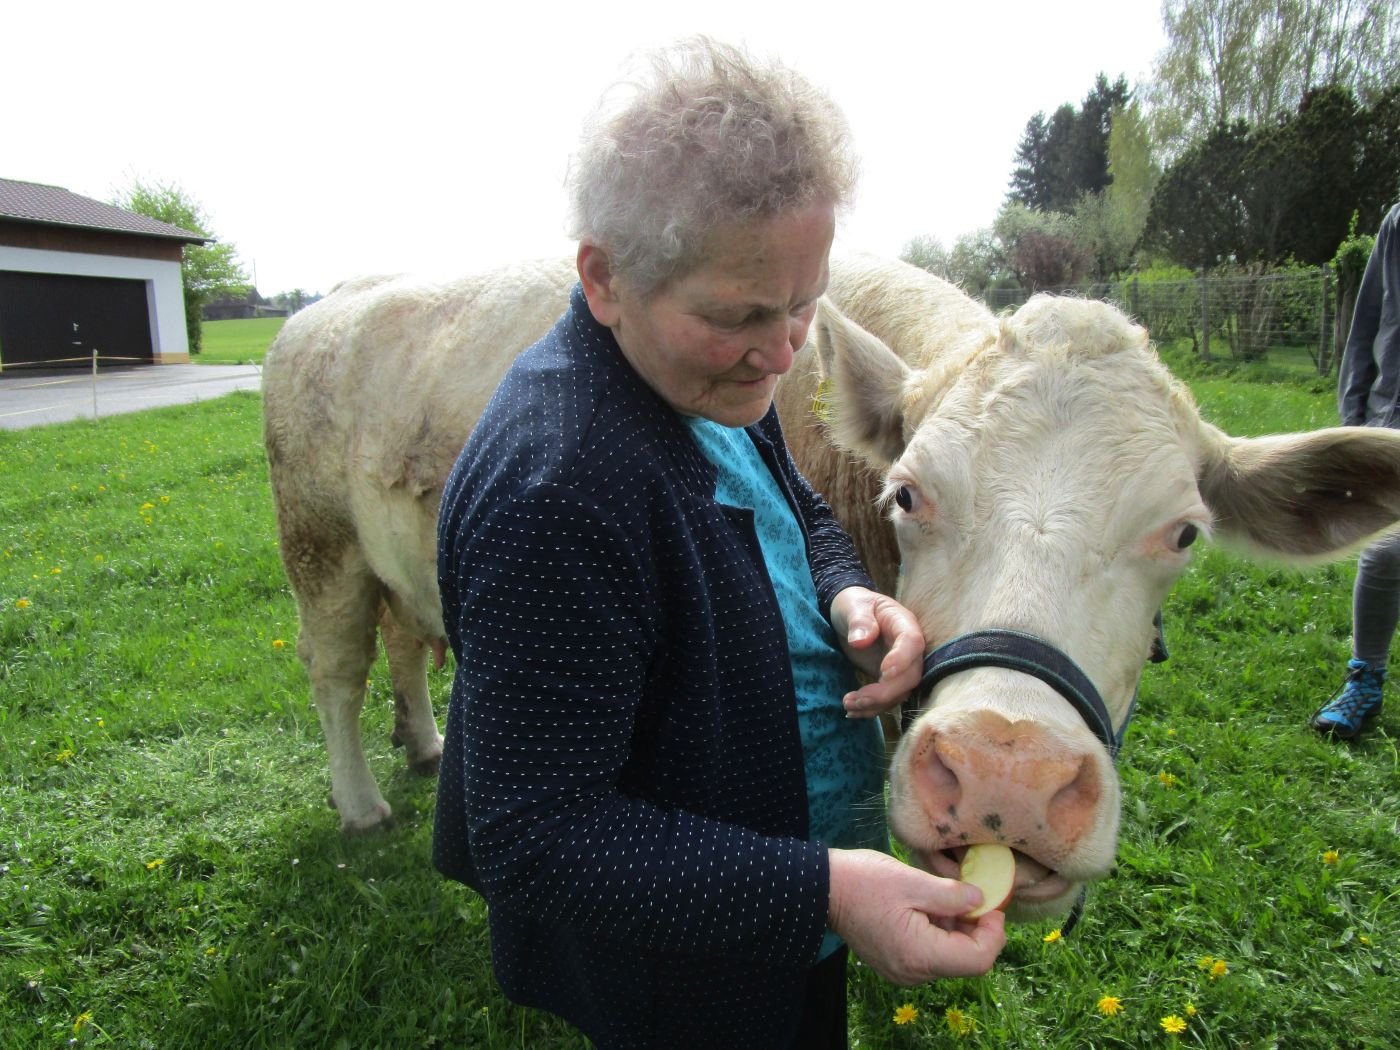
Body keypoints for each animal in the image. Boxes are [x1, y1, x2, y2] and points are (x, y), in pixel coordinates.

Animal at [262, 254, 1400, 920]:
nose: (1007, 774)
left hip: (393, 558)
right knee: (335, 669)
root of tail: (328, 306)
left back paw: (424, 743)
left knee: (403, 643)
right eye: (908, 495)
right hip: (317, 542)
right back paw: (361, 801)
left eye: (1182, 532)